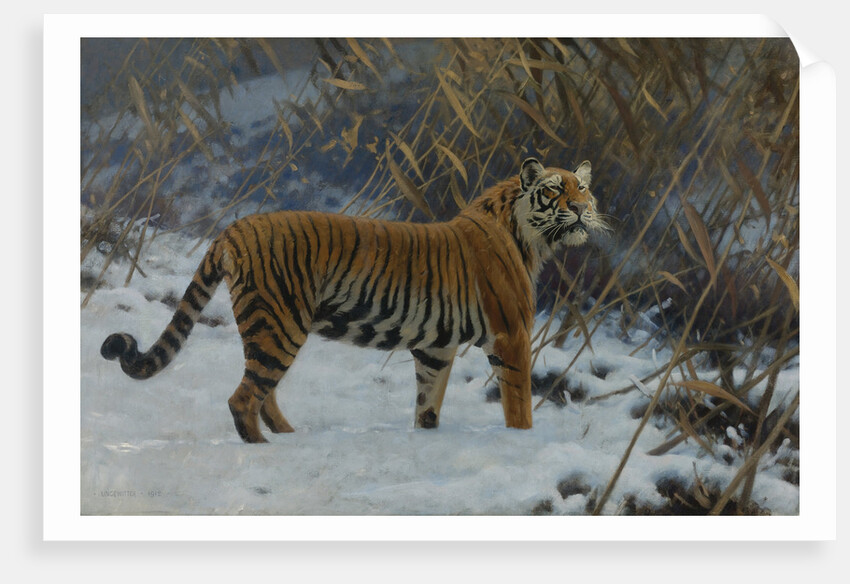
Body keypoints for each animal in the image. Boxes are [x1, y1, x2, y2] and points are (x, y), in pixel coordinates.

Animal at [100, 157, 609, 443]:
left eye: (583, 187)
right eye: (556, 189)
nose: (582, 208)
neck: (531, 237)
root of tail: (234, 226)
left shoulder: (435, 348)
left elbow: (428, 403)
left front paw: (427, 439)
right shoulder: (512, 334)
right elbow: (518, 405)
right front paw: (522, 442)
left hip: (268, 327)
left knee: (262, 392)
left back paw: (290, 438)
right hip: (281, 324)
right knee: (243, 398)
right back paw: (266, 449)